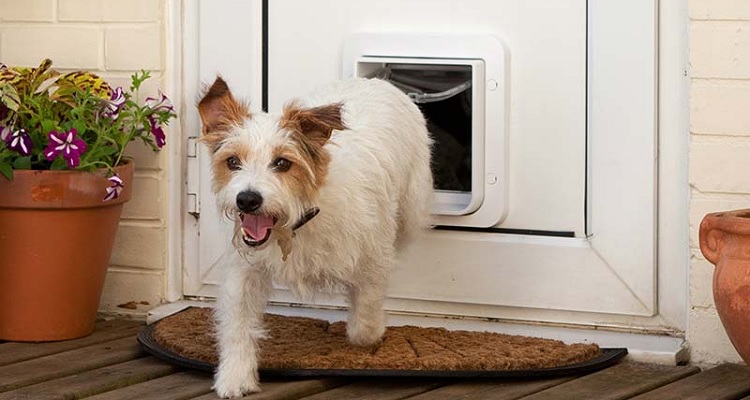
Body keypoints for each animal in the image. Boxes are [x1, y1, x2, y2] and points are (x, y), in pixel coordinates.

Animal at [200, 76, 434, 396]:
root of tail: (374, 79)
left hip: (412, 210)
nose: (247, 200)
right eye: (233, 161)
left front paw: (371, 332)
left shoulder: (374, 259)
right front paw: (235, 376)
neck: (294, 223)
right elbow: (238, 325)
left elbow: (365, 318)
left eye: (283, 163)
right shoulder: (244, 271)